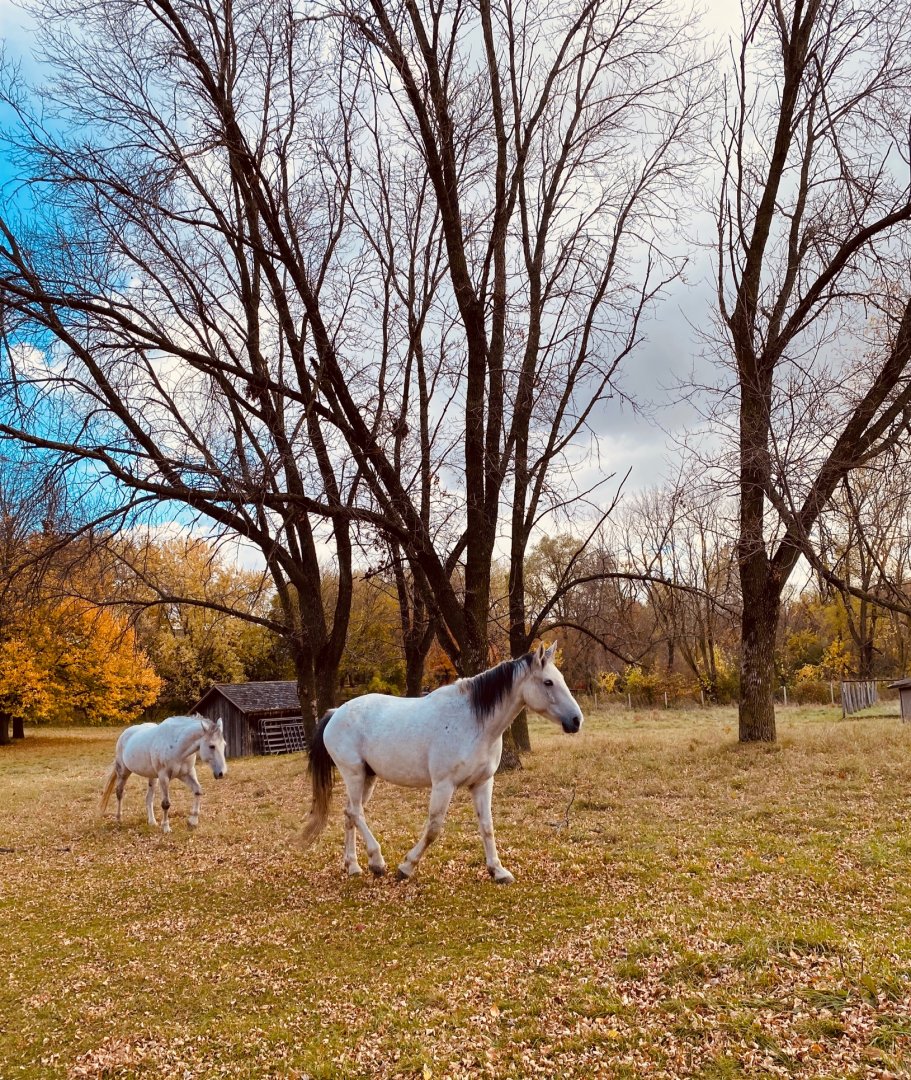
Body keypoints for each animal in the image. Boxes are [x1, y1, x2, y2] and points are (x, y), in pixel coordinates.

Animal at [99, 715, 228, 833]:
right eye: (212, 746)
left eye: (224, 745)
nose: (222, 773)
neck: (177, 745)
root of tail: (124, 734)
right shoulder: (164, 776)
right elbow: (166, 804)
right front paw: (166, 828)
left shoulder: (187, 774)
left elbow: (198, 791)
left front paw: (193, 822)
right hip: (123, 771)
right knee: (119, 793)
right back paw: (119, 820)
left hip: (152, 777)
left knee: (149, 798)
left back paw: (152, 822)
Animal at [300, 642, 583, 883]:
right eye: (548, 682)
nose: (576, 720)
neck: (473, 722)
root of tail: (336, 713)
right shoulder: (443, 785)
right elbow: (433, 829)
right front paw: (406, 867)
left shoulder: (482, 783)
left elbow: (487, 826)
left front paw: (498, 871)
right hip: (354, 774)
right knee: (356, 813)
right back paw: (377, 862)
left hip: (367, 778)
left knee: (349, 813)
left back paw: (355, 866)